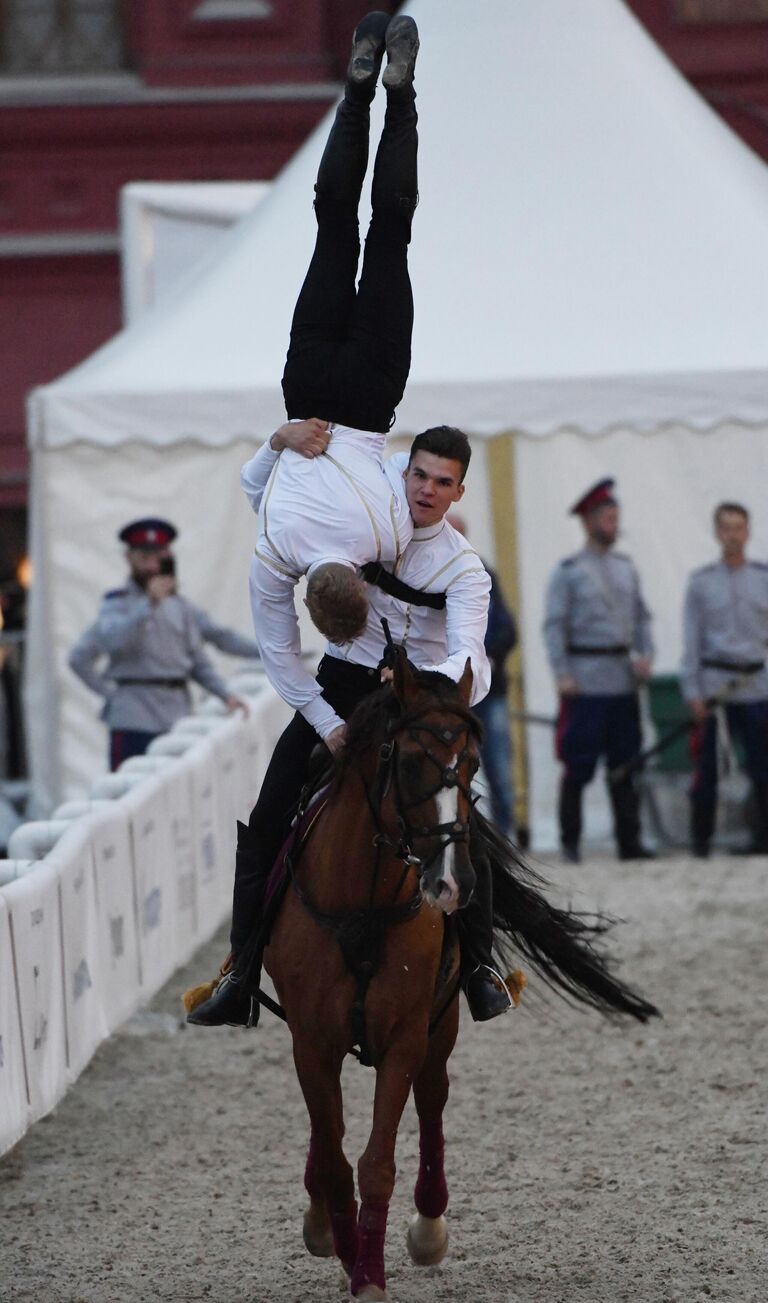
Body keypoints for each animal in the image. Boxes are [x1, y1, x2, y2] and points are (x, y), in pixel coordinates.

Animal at [262, 656, 651, 1297]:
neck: (362, 901)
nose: (451, 882)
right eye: (410, 760)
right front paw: (344, 1248)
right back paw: (324, 1225)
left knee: (432, 1101)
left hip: (439, 1026)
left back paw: (427, 1228)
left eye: (470, 763)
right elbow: (337, 1158)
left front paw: (369, 1273)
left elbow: (377, 1162)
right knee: (329, 1133)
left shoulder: (404, 1035)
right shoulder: (312, 1039)